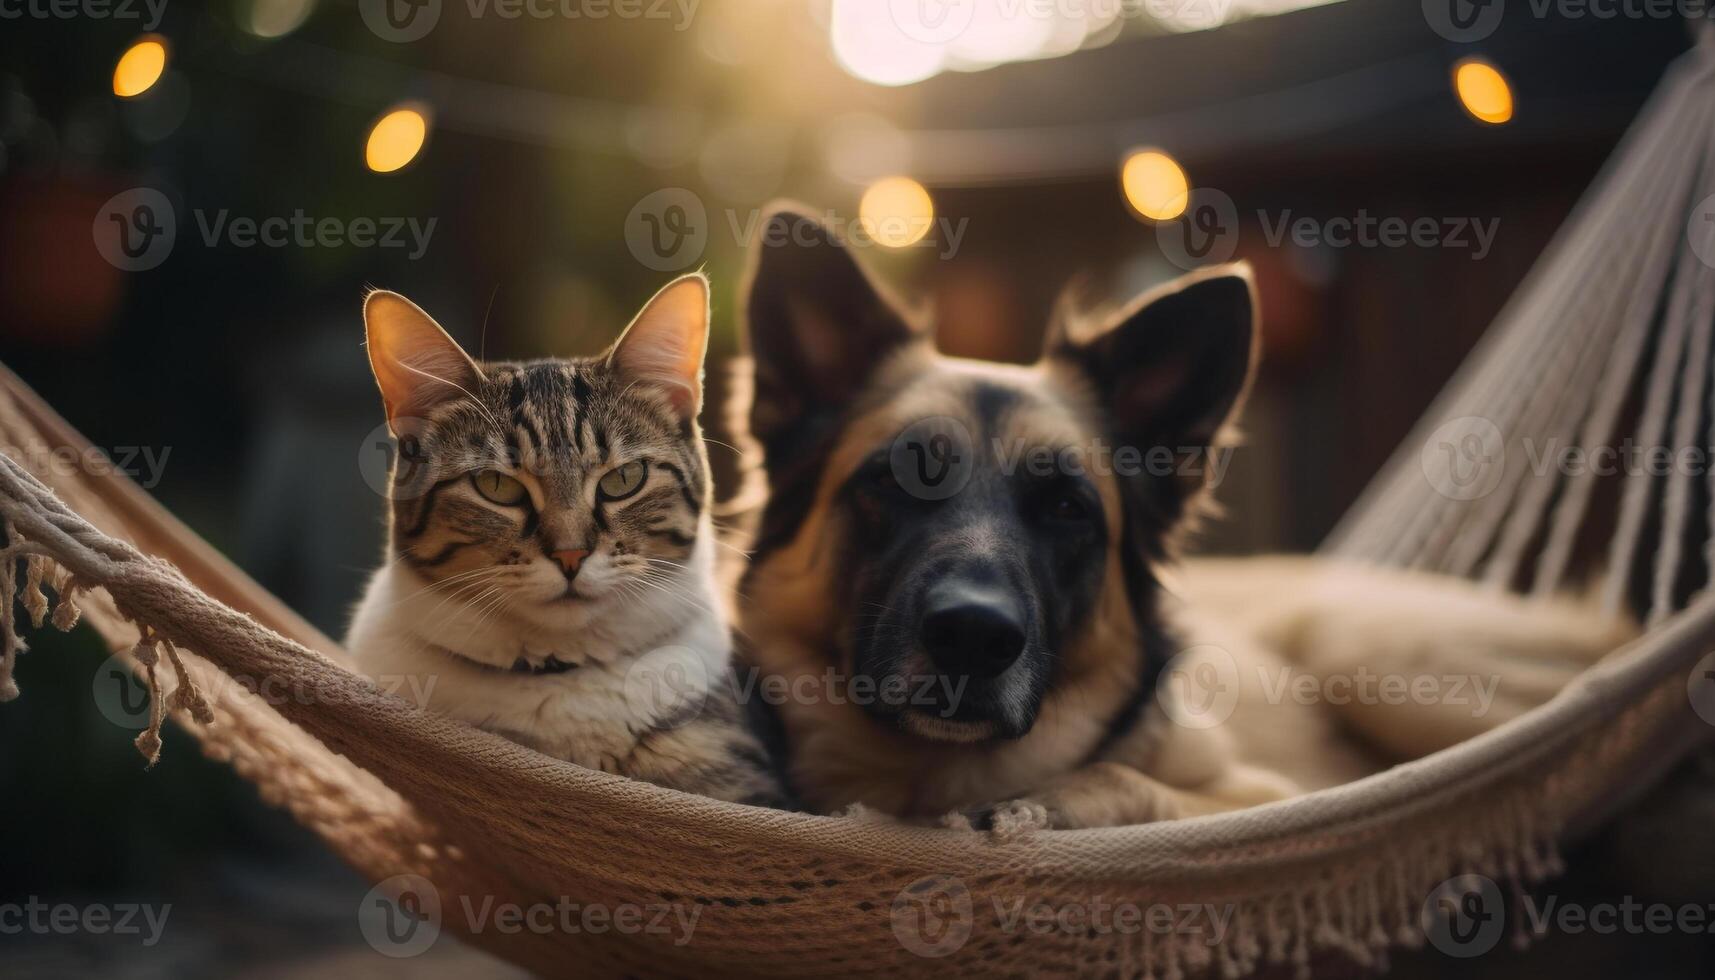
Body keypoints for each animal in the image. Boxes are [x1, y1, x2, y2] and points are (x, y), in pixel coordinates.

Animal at [730, 203, 1625, 830]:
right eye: (895, 480)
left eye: (1067, 508)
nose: (973, 637)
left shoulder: (1267, 793)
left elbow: (1126, 776)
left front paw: (1047, 805)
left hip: (1368, 652)